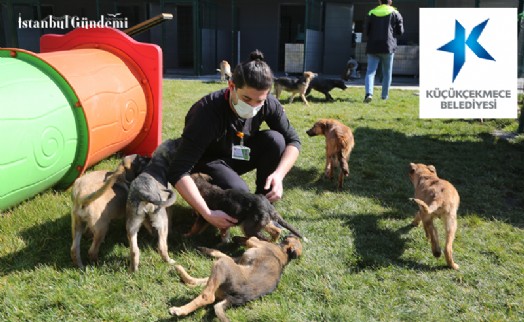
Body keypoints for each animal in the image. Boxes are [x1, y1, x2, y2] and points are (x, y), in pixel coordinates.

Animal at [126, 138, 179, 272]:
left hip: (132, 225)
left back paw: (133, 270)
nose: (180, 139)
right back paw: (170, 261)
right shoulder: (168, 207)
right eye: (175, 144)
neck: (157, 163)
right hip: (162, 220)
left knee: (134, 250)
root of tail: (142, 192)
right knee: (162, 247)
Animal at [168, 234, 302, 322]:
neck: (285, 254)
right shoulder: (237, 259)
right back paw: (180, 271)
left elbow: (251, 237)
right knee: (196, 282)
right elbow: (219, 252)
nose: (290, 233)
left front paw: (237, 238)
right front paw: (207, 249)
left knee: (208, 296)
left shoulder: (253, 243)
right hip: (223, 272)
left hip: (223, 265)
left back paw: (179, 310)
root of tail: (234, 299)